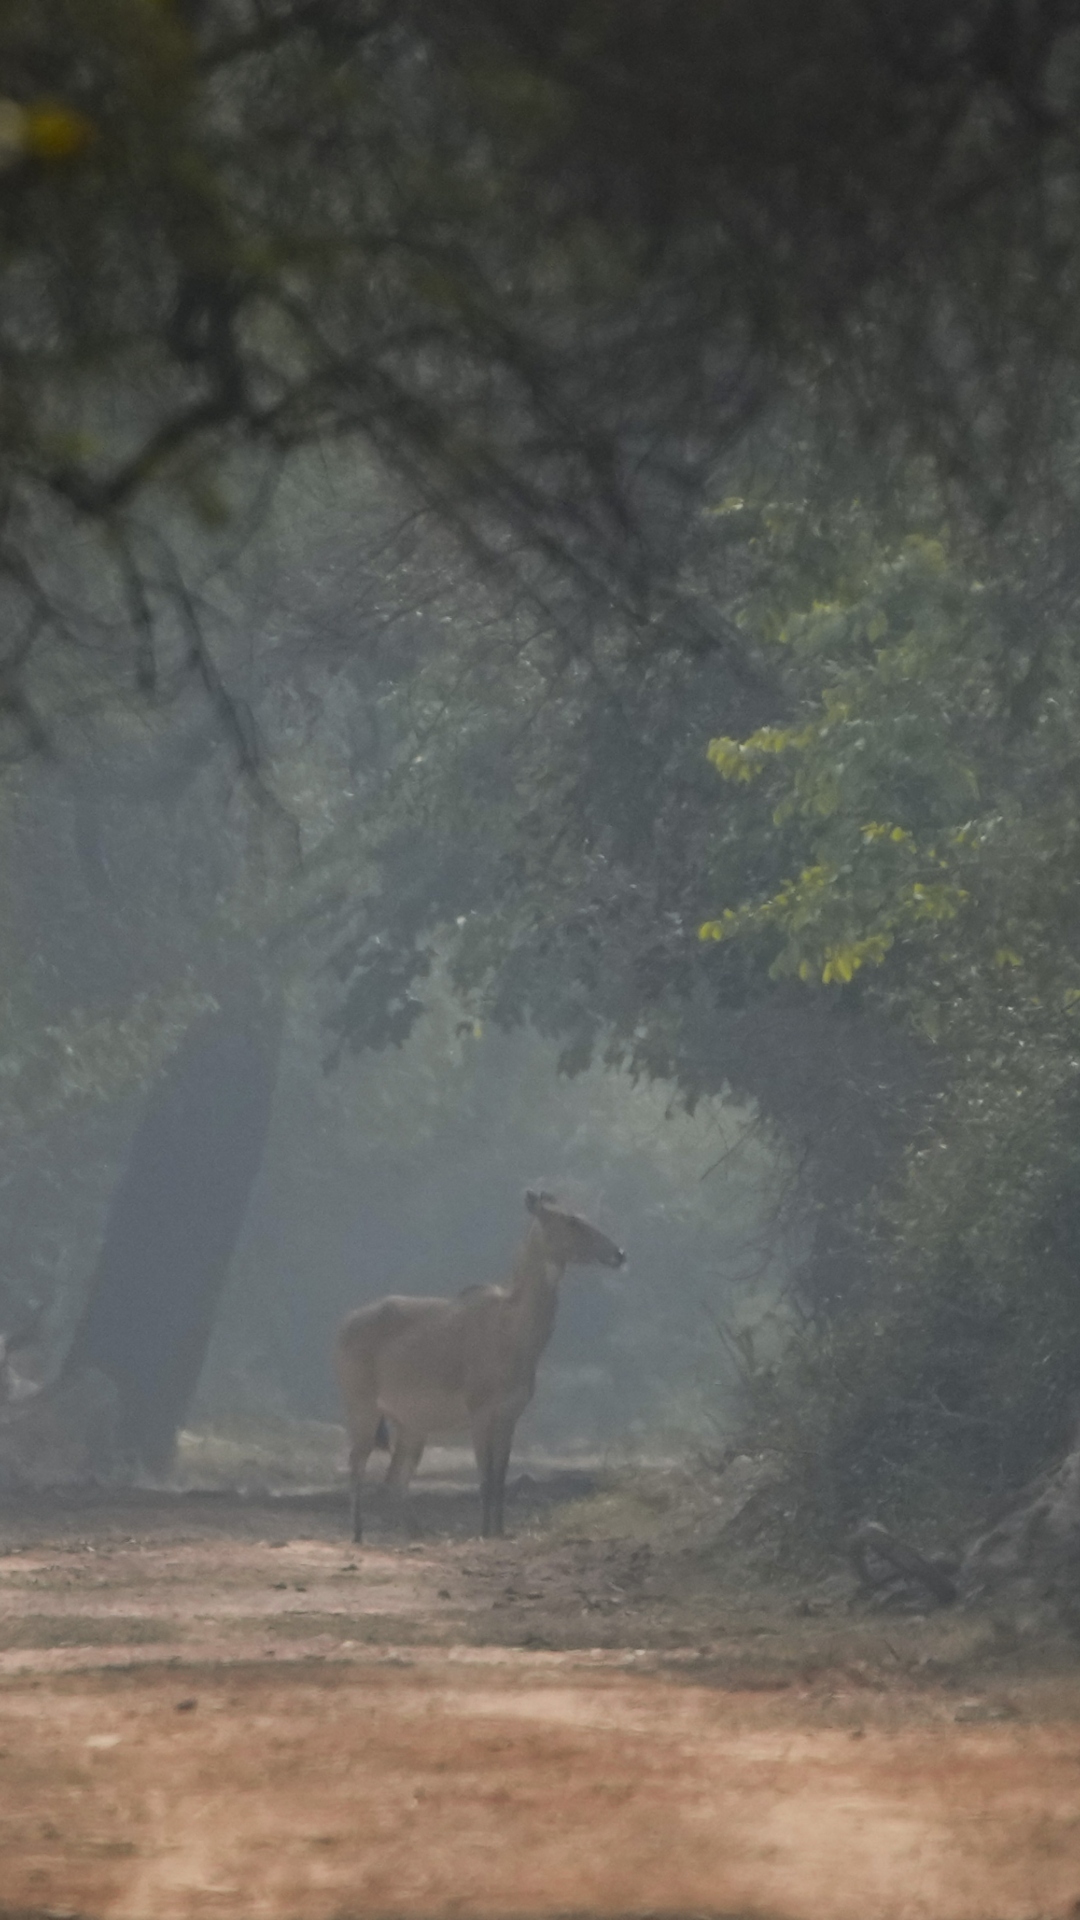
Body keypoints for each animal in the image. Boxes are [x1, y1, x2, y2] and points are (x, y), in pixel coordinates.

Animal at [334, 1182, 622, 1543]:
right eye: (571, 1220)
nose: (619, 1253)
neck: (514, 1335)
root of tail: (342, 1327)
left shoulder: (511, 1413)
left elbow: (500, 1478)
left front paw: (499, 1531)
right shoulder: (479, 1410)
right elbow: (485, 1479)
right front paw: (485, 1533)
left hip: (410, 1423)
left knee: (394, 1477)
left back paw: (418, 1532)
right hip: (361, 1404)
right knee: (356, 1463)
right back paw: (358, 1534)